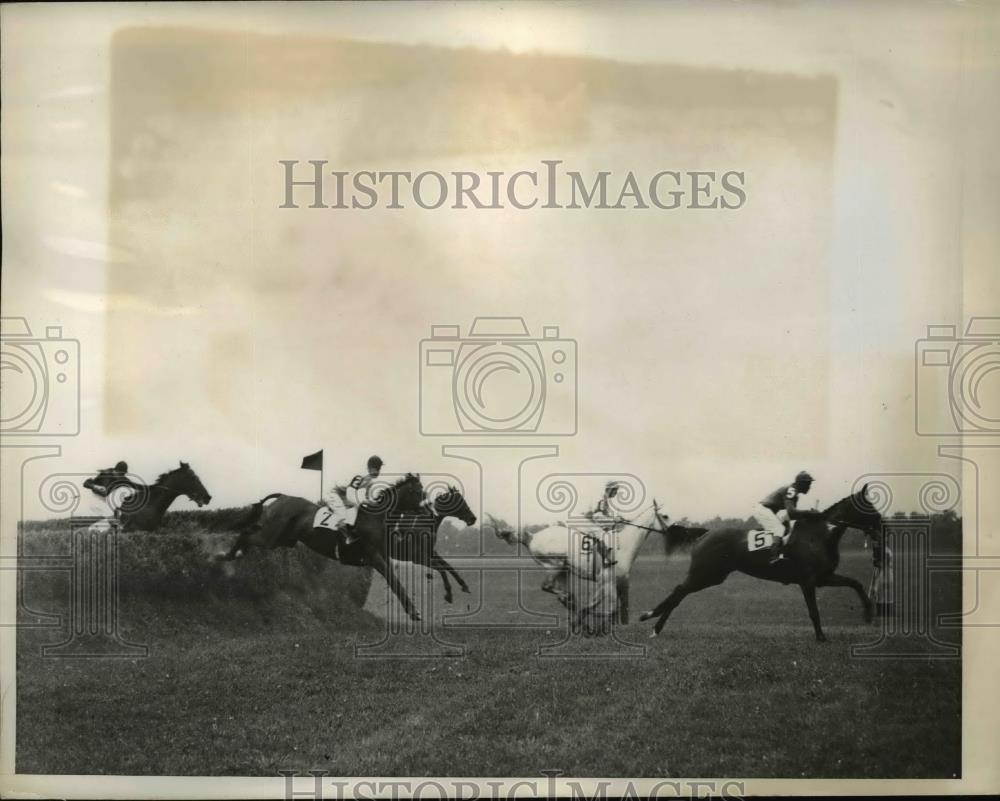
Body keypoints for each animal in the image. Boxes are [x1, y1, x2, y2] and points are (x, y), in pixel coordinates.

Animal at [494, 504, 668, 628]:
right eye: (665, 515)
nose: (672, 530)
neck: (623, 546)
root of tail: (531, 536)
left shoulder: (609, 582)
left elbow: (599, 604)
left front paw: (582, 618)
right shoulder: (607, 581)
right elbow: (608, 608)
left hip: (563, 570)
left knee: (561, 594)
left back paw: (575, 614)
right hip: (554, 565)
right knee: (548, 587)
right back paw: (572, 606)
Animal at [640, 482, 884, 644]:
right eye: (870, 506)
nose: (881, 522)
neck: (821, 534)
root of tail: (706, 534)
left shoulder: (824, 577)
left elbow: (856, 583)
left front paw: (868, 613)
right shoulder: (808, 581)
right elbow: (814, 610)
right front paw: (821, 637)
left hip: (712, 576)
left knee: (679, 593)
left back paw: (654, 623)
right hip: (705, 574)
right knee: (679, 591)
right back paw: (651, 620)